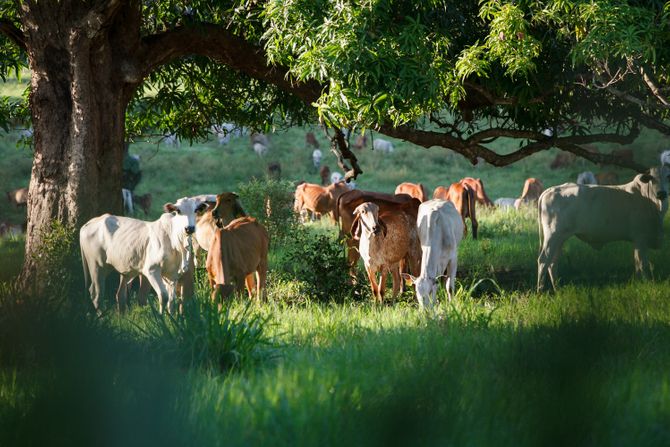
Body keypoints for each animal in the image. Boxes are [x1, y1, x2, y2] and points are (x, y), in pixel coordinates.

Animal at [540, 166, 670, 292]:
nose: (661, 193)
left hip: (560, 239)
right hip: (552, 236)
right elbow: (642, 264)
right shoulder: (640, 238)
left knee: (553, 262)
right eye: (652, 178)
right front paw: (647, 283)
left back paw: (557, 288)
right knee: (543, 260)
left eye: (668, 176)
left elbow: (638, 263)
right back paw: (540, 290)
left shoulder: (638, 241)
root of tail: (550, 190)